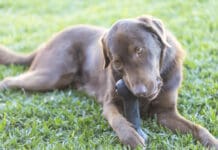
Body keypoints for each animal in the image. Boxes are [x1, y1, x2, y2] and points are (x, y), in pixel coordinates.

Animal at [0, 15, 218, 149]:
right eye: (117, 62)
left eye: (139, 50)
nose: (139, 92)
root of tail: (46, 43)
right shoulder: (110, 102)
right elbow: (117, 120)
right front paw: (131, 137)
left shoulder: (165, 113)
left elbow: (198, 128)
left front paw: (212, 141)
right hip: (51, 75)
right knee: (9, 80)